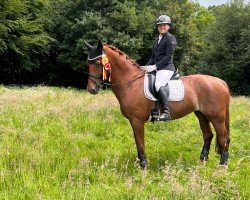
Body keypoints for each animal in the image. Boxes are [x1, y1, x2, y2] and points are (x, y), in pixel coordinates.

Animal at [84, 39, 230, 170]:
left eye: (97, 63)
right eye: (88, 63)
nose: (91, 89)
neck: (131, 83)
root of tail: (221, 82)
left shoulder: (137, 121)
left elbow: (140, 144)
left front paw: (143, 168)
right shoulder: (133, 121)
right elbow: (137, 143)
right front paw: (140, 165)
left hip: (217, 117)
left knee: (223, 138)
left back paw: (222, 166)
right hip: (201, 115)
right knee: (208, 135)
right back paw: (202, 162)